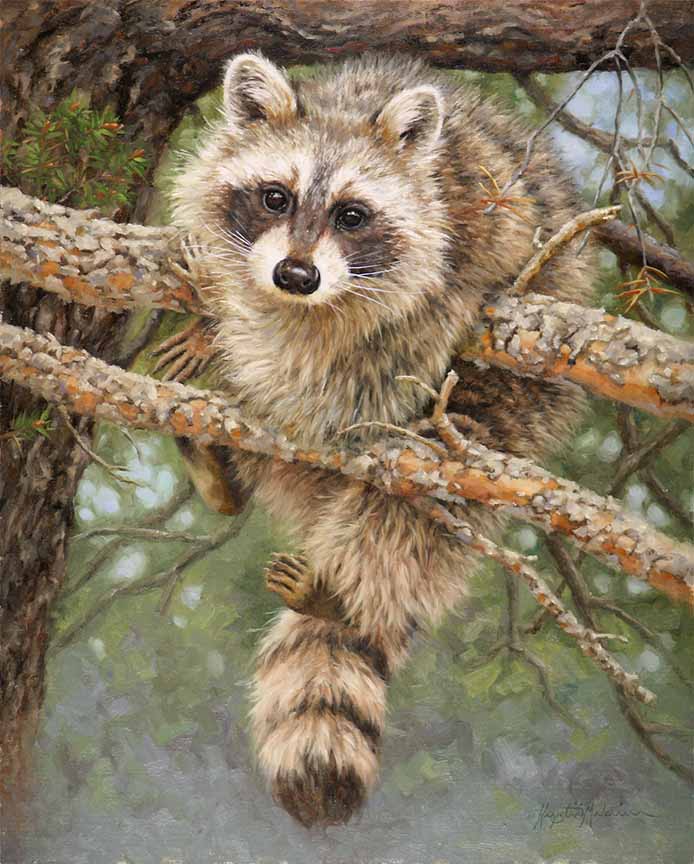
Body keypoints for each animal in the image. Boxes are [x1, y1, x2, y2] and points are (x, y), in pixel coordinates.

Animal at [170, 52, 596, 827]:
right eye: (274, 197)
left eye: (353, 215)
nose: (295, 275)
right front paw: (211, 323)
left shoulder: (481, 219)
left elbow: (386, 351)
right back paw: (216, 471)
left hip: (519, 404)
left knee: (414, 501)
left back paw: (341, 595)